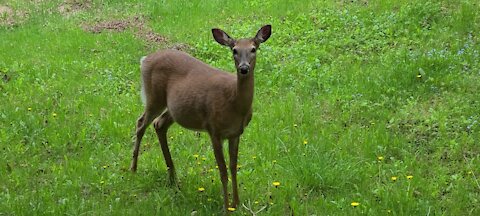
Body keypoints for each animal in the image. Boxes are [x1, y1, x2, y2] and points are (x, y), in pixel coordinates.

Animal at [129, 25, 272, 211]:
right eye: (234, 50)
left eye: (253, 49)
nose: (243, 68)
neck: (235, 103)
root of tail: (144, 60)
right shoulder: (214, 129)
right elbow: (223, 171)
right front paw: (226, 207)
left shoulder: (235, 133)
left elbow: (233, 167)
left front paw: (237, 203)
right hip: (154, 97)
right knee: (141, 123)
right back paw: (133, 169)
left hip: (174, 108)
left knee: (159, 124)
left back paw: (173, 179)